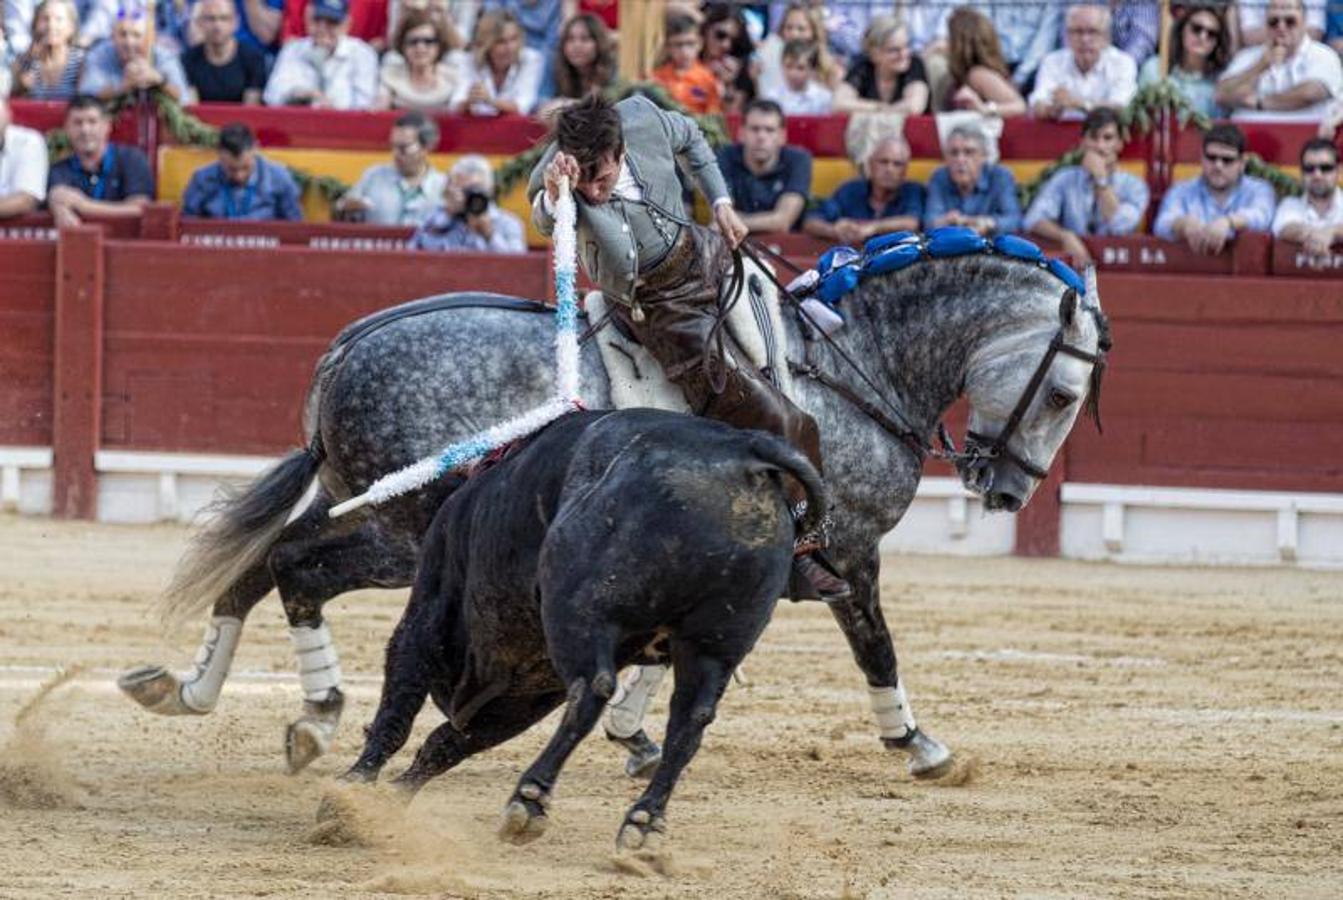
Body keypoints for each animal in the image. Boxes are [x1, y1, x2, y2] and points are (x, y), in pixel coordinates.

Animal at [120, 248, 1112, 784]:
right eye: (1064, 393)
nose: (1006, 491)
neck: (851, 365)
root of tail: (347, 348)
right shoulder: (848, 551)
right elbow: (876, 644)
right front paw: (920, 745)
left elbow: (657, 651)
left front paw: (632, 733)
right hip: (405, 529)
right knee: (294, 567)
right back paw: (315, 711)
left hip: (367, 510)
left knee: (266, 564)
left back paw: (199, 692)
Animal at [343, 405, 827, 848]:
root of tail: (743, 449)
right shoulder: (529, 693)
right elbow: (447, 742)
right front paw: (388, 801)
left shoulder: (430, 609)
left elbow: (401, 706)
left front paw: (351, 792)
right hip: (715, 644)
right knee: (691, 720)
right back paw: (643, 824)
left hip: (581, 613)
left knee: (594, 690)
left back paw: (530, 799)